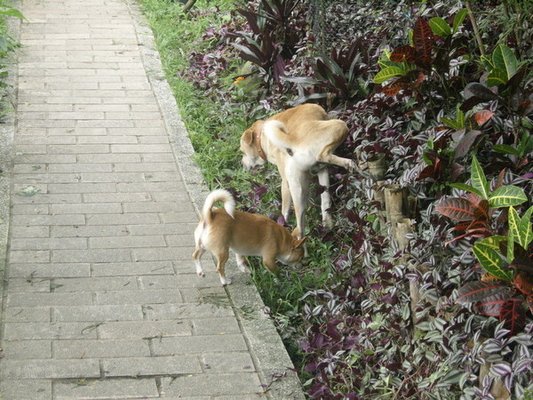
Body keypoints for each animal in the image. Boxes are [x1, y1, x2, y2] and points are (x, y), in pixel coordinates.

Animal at [239, 104, 356, 241]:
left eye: (243, 152)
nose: (242, 165)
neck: (262, 136)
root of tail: (292, 139)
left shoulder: (289, 181)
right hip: (339, 125)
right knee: (323, 155)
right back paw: (349, 163)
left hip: (298, 188)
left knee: (301, 227)